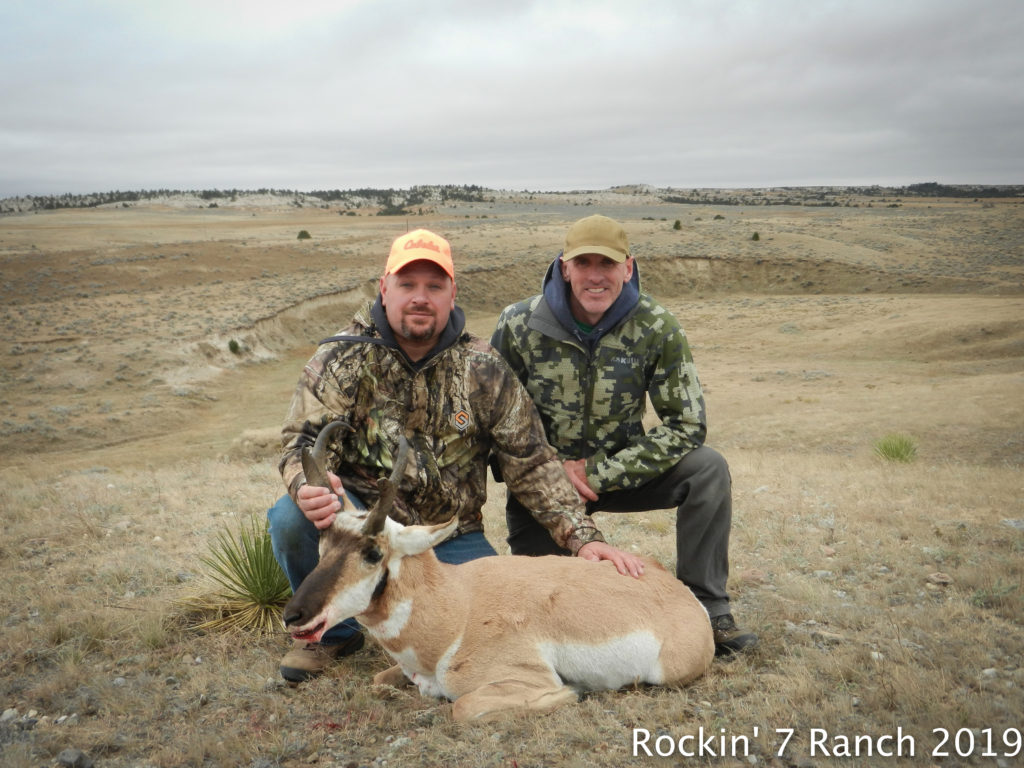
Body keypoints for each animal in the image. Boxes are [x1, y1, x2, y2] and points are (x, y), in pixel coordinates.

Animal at [280, 423, 712, 724]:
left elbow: (463, 708)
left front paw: (570, 694)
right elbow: (378, 681)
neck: (456, 607)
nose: (294, 615)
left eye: (372, 552)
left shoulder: (515, 681)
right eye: (322, 544)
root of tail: (679, 592)